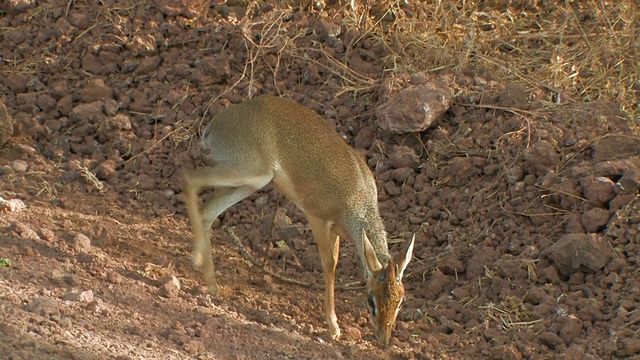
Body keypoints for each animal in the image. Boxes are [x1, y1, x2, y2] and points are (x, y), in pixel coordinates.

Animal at [184, 95, 416, 346]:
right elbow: (329, 264)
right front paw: (333, 327)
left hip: (250, 183)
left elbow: (334, 263)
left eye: (400, 301)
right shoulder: (317, 219)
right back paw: (200, 268)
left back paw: (210, 280)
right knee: (189, 179)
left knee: (207, 210)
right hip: (250, 173)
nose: (384, 339)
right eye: (370, 299)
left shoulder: (336, 230)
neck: (357, 198)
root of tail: (214, 126)